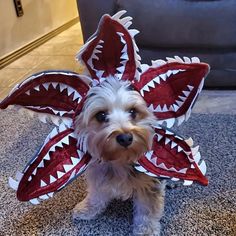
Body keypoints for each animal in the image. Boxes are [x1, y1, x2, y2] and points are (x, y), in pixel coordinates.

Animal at [73, 76, 165, 235]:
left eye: (133, 112)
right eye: (101, 115)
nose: (125, 138)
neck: (120, 160)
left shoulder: (149, 184)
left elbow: (147, 211)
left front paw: (146, 230)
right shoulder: (98, 176)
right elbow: (96, 195)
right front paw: (88, 209)